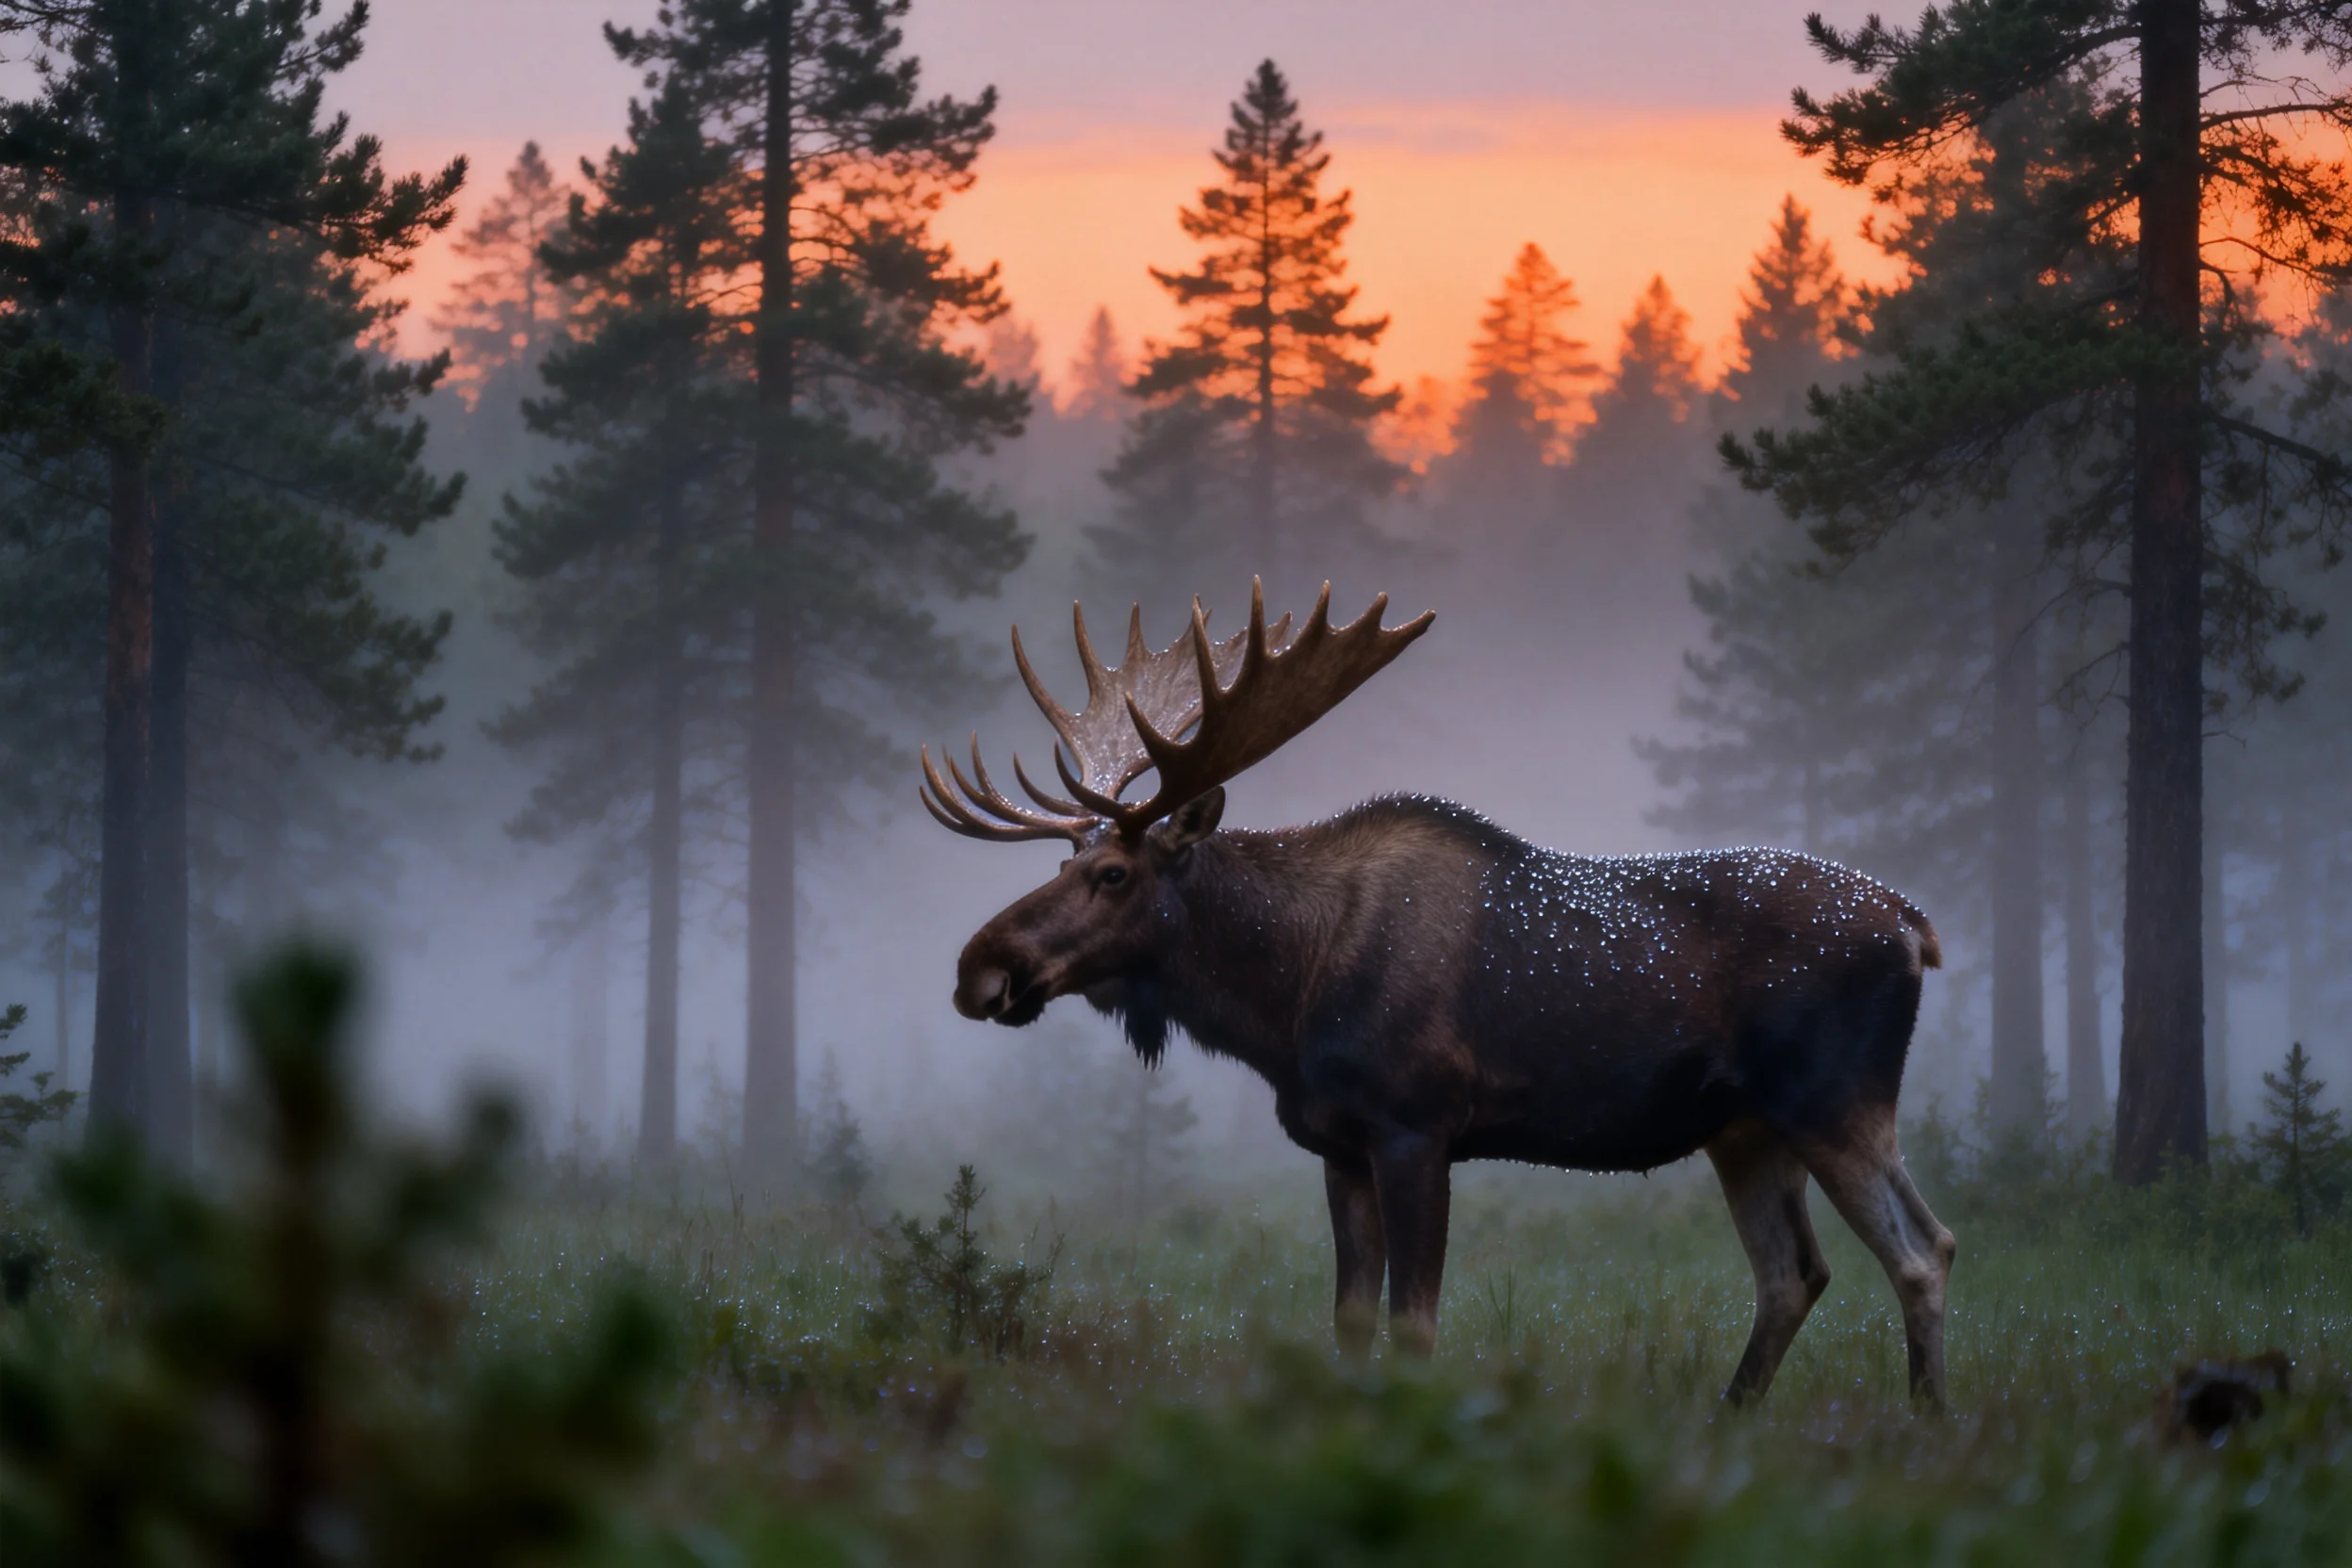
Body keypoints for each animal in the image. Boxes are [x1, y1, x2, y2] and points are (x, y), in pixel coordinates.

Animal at [921, 582, 1957, 1407]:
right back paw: (1730, 1419)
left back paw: (1925, 1423)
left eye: (1113, 874)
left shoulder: (1418, 1125)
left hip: (1835, 1099)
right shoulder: (1338, 1144)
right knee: (1794, 1274)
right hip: (1744, 1128)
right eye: (1063, 861)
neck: (1283, 1001)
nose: (979, 967)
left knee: (1923, 1249)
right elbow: (1350, 1319)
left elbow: (1415, 1321)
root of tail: (1916, 924)